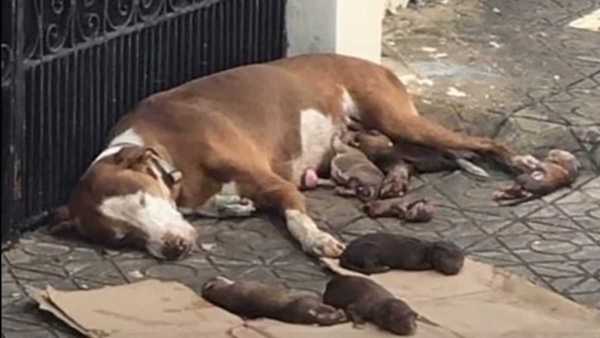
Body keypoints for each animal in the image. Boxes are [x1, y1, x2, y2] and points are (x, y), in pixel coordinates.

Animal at [202, 276, 346, 326]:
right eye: (215, 279)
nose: (216, 275)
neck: (227, 291)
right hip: (309, 302)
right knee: (327, 311)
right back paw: (339, 313)